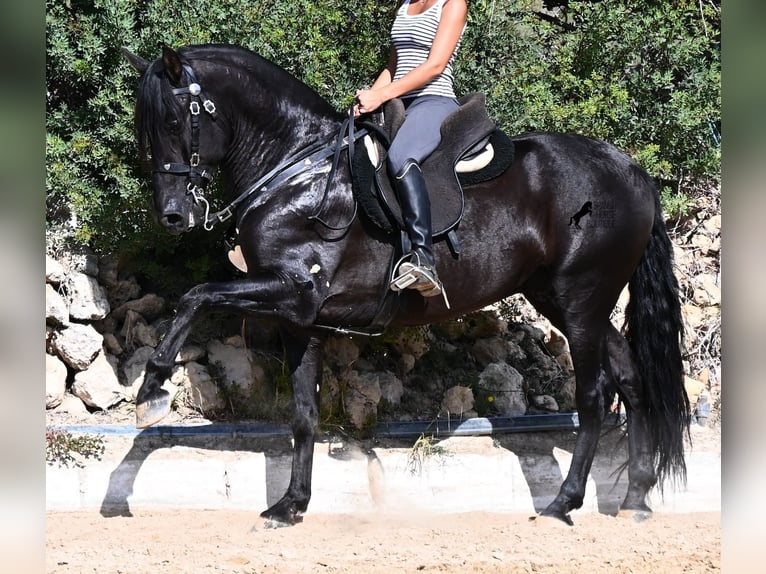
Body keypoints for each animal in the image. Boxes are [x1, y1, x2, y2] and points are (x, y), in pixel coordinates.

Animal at [122, 44, 690, 527]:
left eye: (173, 121)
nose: (172, 216)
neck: (297, 172)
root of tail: (628, 168)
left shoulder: (291, 291)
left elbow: (195, 297)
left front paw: (152, 391)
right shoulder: (300, 319)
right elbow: (303, 414)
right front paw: (290, 505)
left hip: (581, 298)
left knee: (594, 394)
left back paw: (563, 504)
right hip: (560, 298)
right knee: (631, 378)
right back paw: (636, 499)